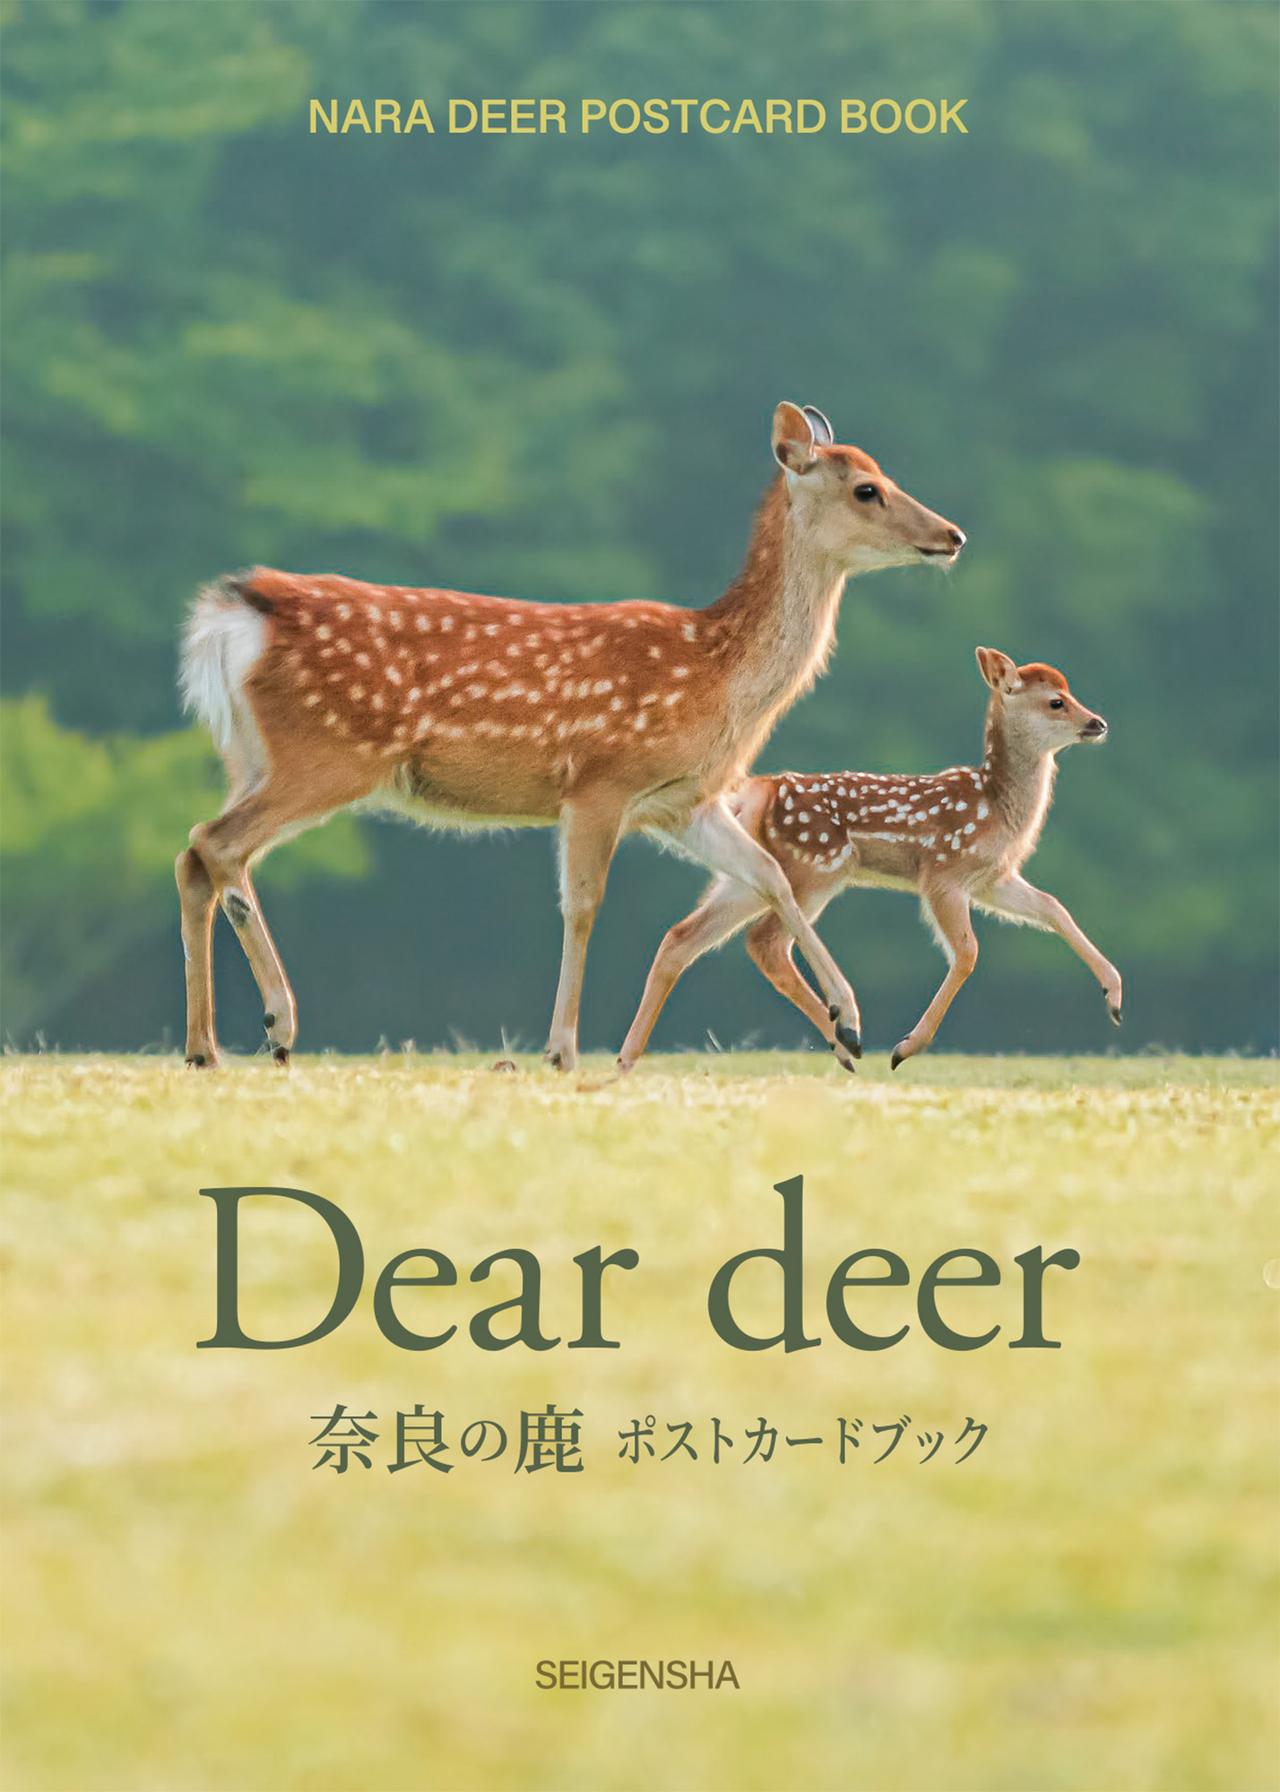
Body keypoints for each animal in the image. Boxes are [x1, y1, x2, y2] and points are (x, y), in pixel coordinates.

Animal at [176, 402, 964, 1070]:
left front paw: (850, 1022)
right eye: (866, 489)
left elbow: (770, 874)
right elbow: (583, 907)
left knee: (196, 856)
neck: (717, 677)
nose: (951, 536)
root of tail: (238, 614)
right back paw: (278, 1023)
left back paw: (205, 1048)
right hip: (327, 754)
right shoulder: (599, 782)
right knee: (217, 845)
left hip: (253, 757)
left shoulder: (682, 801)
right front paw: (561, 1050)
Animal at [616, 647, 1122, 1072]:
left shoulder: (991, 878)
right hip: (816, 868)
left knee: (683, 937)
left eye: (1071, 693)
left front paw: (1114, 996)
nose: (1098, 723)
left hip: (746, 878)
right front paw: (905, 1048)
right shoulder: (943, 871)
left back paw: (626, 1061)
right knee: (767, 943)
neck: (997, 807)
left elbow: (1053, 908)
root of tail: (759, 791)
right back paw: (847, 1038)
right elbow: (967, 953)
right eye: (1056, 702)